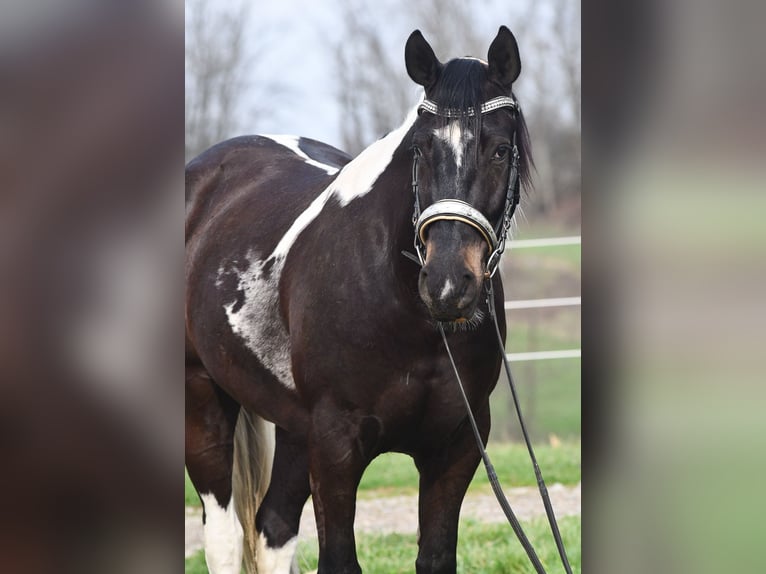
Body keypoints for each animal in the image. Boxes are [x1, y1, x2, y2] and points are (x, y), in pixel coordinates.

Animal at [185, 25, 532, 574]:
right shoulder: (335, 448)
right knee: (224, 536)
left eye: (500, 149)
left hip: (292, 427)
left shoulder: (455, 449)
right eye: (420, 148)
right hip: (201, 397)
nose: (448, 284)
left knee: (273, 527)